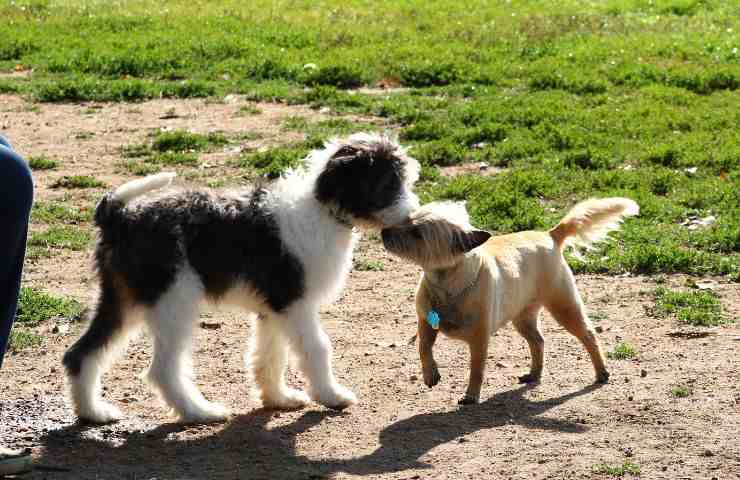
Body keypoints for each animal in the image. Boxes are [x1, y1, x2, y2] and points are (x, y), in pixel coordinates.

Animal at [63, 133, 420, 422]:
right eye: (389, 184)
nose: (414, 215)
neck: (322, 209)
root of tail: (121, 216)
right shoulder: (296, 303)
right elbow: (317, 347)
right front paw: (331, 395)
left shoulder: (274, 309)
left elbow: (270, 355)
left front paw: (278, 398)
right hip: (173, 303)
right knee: (162, 369)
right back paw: (199, 412)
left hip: (122, 300)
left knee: (80, 354)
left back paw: (93, 413)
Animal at [378, 197, 640, 404]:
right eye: (406, 219)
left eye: (417, 233)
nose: (383, 232)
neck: (446, 286)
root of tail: (551, 234)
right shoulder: (426, 323)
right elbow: (424, 348)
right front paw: (430, 375)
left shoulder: (479, 340)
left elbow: (476, 369)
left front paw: (471, 396)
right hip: (523, 318)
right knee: (538, 341)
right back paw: (534, 374)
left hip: (564, 307)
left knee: (588, 336)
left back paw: (601, 372)